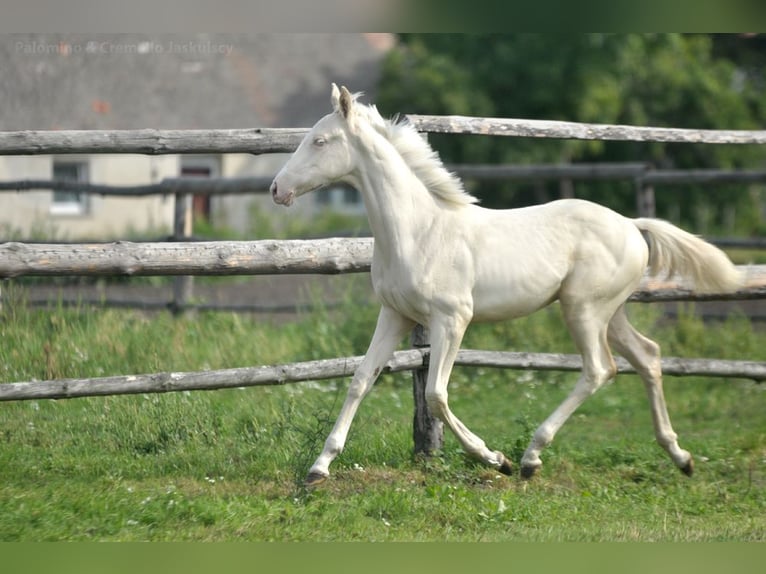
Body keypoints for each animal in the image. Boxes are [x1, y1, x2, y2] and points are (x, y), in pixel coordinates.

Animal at [270, 85, 744, 486]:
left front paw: (494, 458)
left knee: (600, 369)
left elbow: (435, 393)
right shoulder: (396, 314)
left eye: (320, 141)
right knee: (648, 356)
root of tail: (631, 223)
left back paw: (532, 457)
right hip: (610, 311)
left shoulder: (452, 319)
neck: (419, 230)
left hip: (583, 309)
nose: (277, 188)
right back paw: (680, 457)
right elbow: (360, 379)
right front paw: (319, 468)